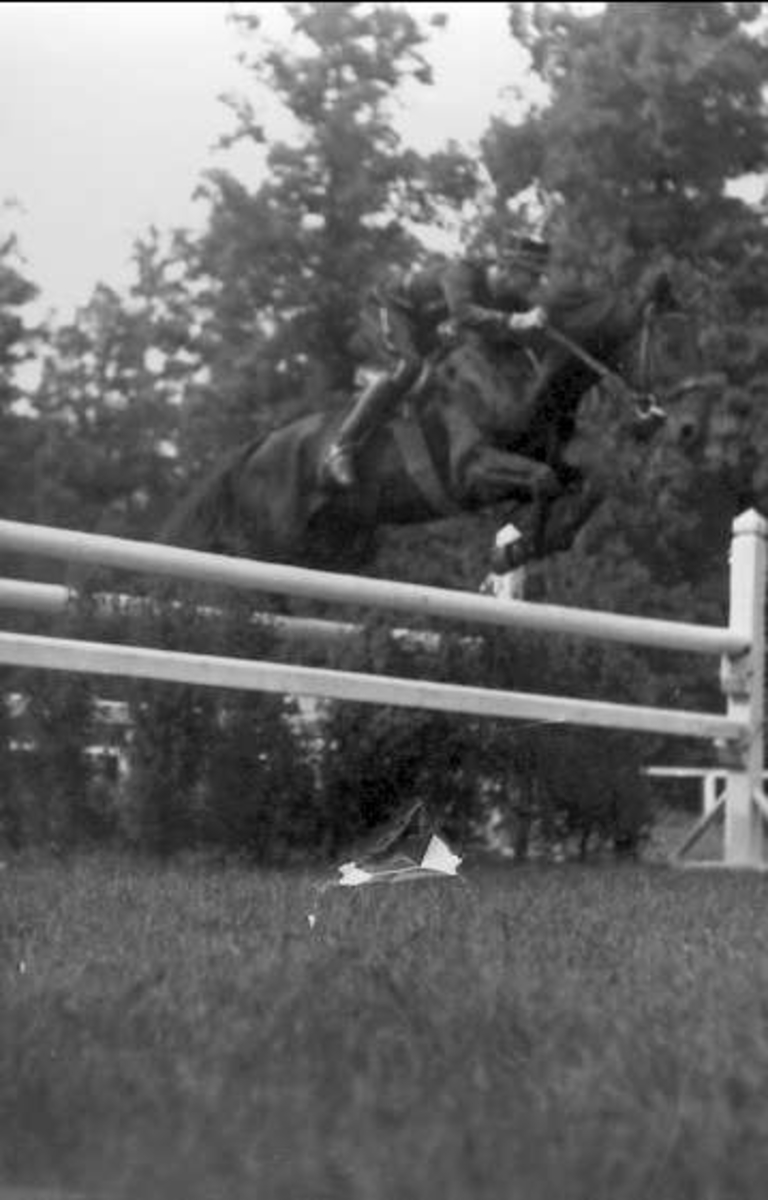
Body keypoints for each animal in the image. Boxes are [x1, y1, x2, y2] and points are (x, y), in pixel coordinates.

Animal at [161, 266, 686, 577]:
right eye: (656, 343)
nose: (669, 423)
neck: (523, 378)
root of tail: (256, 449)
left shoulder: (547, 462)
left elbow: (586, 482)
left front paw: (530, 546)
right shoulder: (470, 471)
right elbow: (541, 482)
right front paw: (516, 551)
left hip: (335, 549)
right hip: (270, 547)